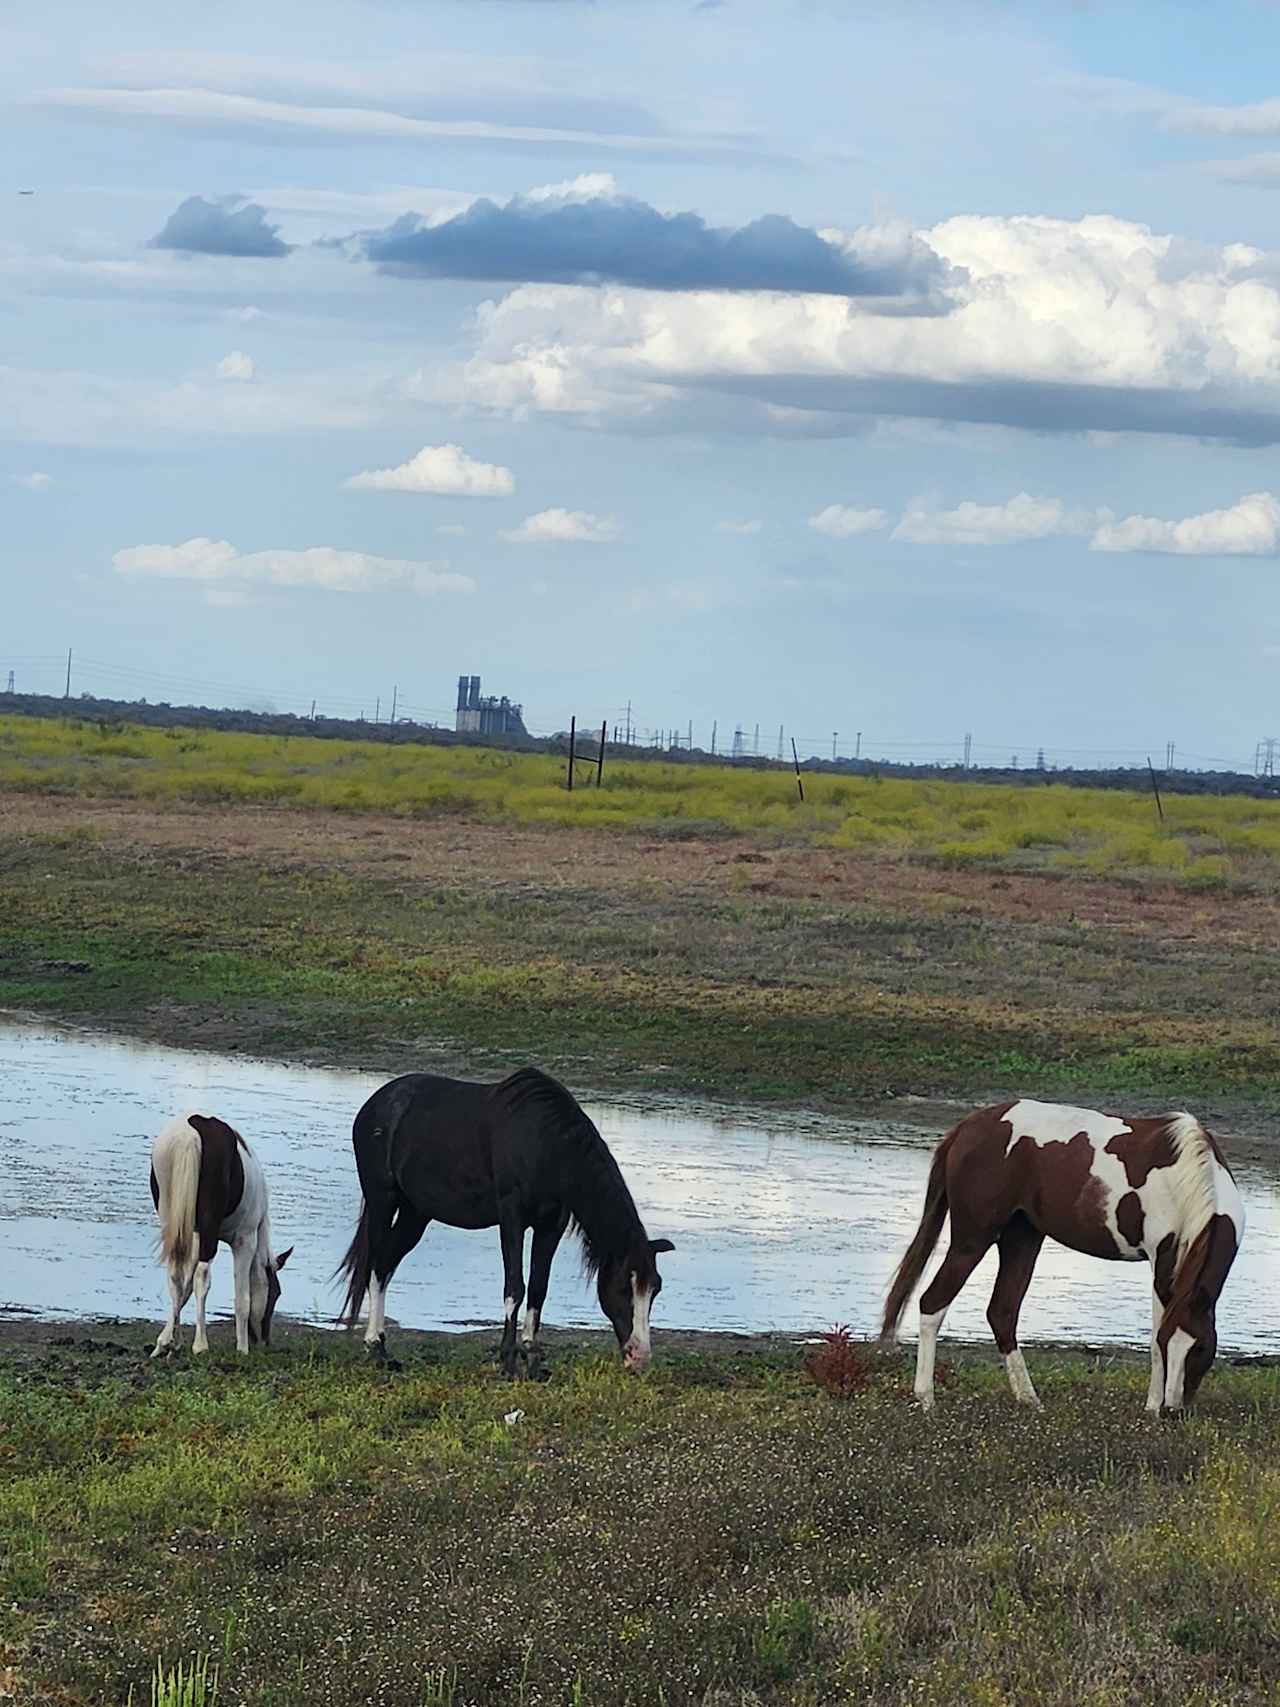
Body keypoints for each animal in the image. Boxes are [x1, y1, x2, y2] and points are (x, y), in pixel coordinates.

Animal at [150, 1119, 293, 1358]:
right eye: (276, 1293)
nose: (264, 1341)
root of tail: (191, 1133)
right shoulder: (245, 1240)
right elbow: (243, 1299)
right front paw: (242, 1348)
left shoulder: (195, 1234)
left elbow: (185, 1286)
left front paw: (167, 1342)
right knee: (202, 1276)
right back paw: (200, 1345)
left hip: (171, 1218)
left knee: (175, 1275)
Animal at [341, 1065, 682, 1372]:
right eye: (624, 1287)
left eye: (656, 1289)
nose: (639, 1356)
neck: (546, 1145)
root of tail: (374, 1106)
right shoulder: (512, 1217)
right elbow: (515, 1286)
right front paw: (507, 1360)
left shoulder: (551, 1225)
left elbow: (538, 1289)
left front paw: (531, 1359)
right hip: (383, 1200)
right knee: (376, 1266)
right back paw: (375, 1348)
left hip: (416, 1213)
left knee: (386, 1264)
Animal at [887, 1092, 1249, 1413]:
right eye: (1173, 1344)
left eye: (1200, 1347)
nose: (1173, 1410)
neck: (1187, 1178)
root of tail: (965, 1128)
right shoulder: (1163, 1263)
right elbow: (1154, 1336)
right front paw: (1151, 1407)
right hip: (972, 1240)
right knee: (933, 1303)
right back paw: (926, 1398)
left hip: (1022, 1238)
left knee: (1002, 1313)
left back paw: (1029, 1399)